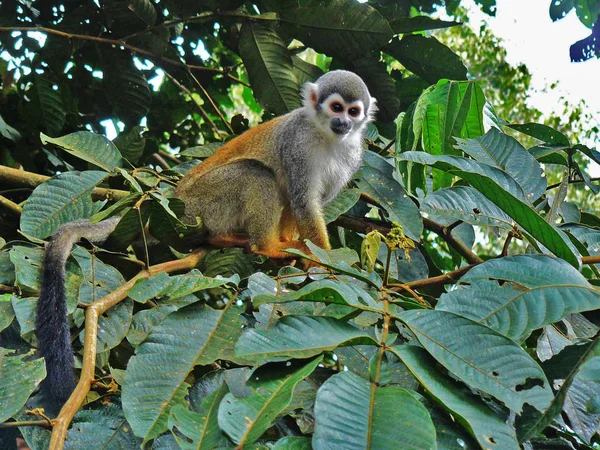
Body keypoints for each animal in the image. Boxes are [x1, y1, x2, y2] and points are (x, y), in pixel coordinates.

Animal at [35, 69, 378, 404]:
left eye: (353, 111)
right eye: (336, 107)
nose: (344, 123)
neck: (327, 137)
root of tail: (172, 205)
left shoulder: (352, 155)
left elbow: (302, 204)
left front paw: (304, 253)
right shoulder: (297, 143)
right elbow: (302, 200)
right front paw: (324, 263)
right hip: (201, 204)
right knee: (257, 174)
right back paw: (260, 245)